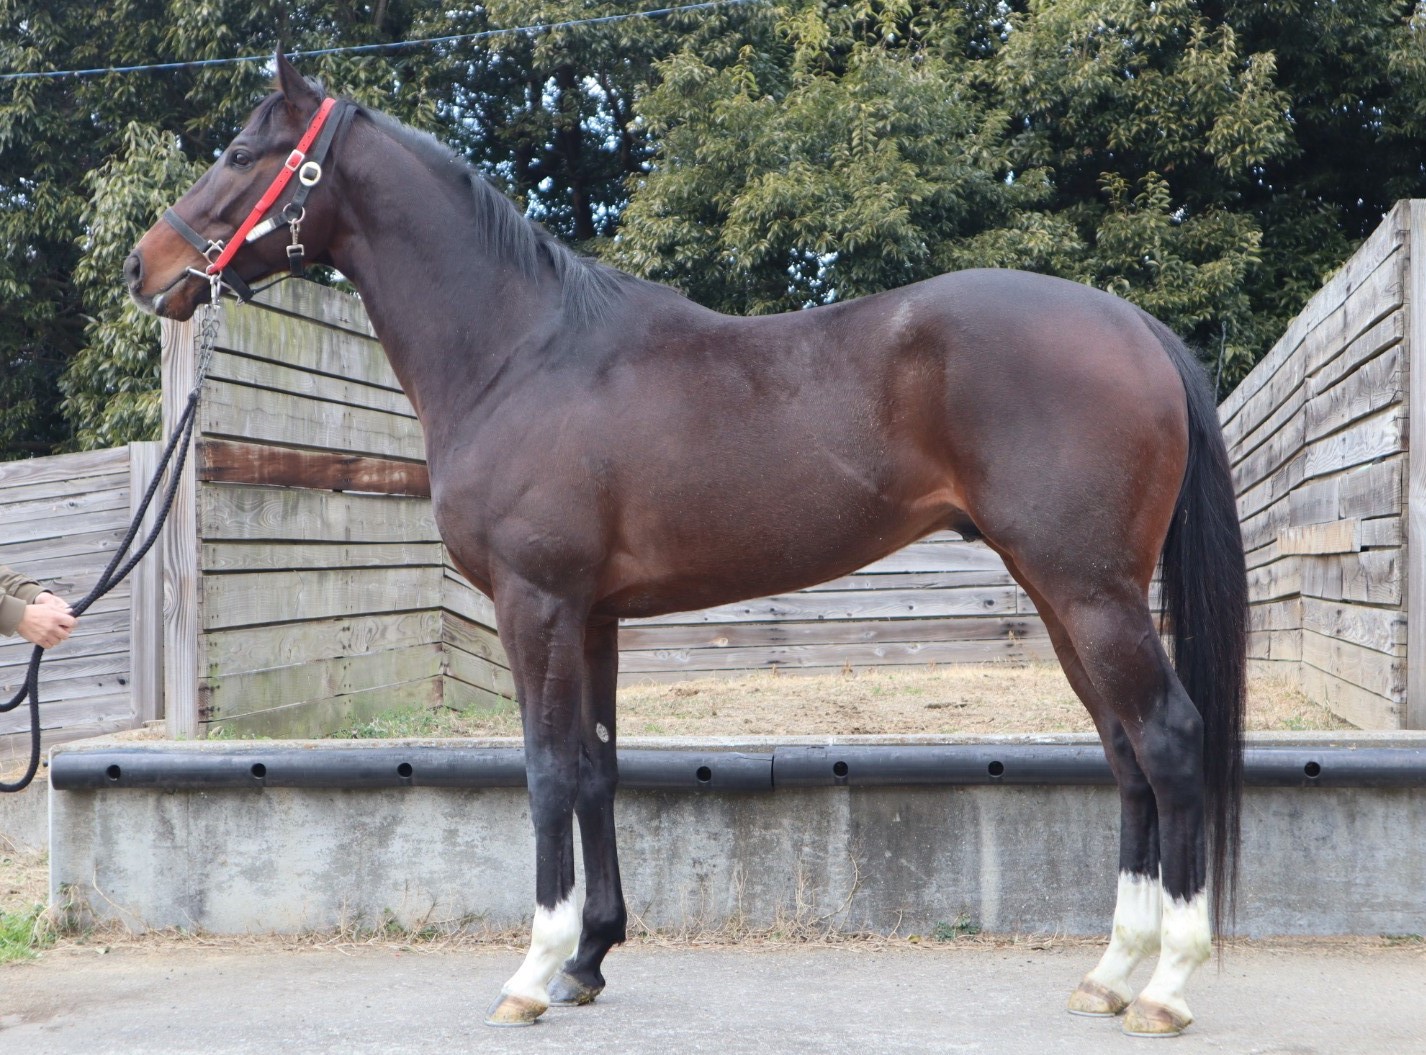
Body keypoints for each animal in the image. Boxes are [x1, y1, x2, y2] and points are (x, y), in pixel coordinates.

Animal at [127, 51, 1247, 1037]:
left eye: (240, 151)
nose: (148, 266)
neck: (521, 352)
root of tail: (1135, 325)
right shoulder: (594, 615)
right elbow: (596, 766)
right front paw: (588, 957)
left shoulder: (535, 603)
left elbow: (546, 769)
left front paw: (531, 972)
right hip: (1062, 595)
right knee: (1125, 753)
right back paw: (1109, 972)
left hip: (1090, 592)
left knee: (1169, 739)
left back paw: (1166, 985)